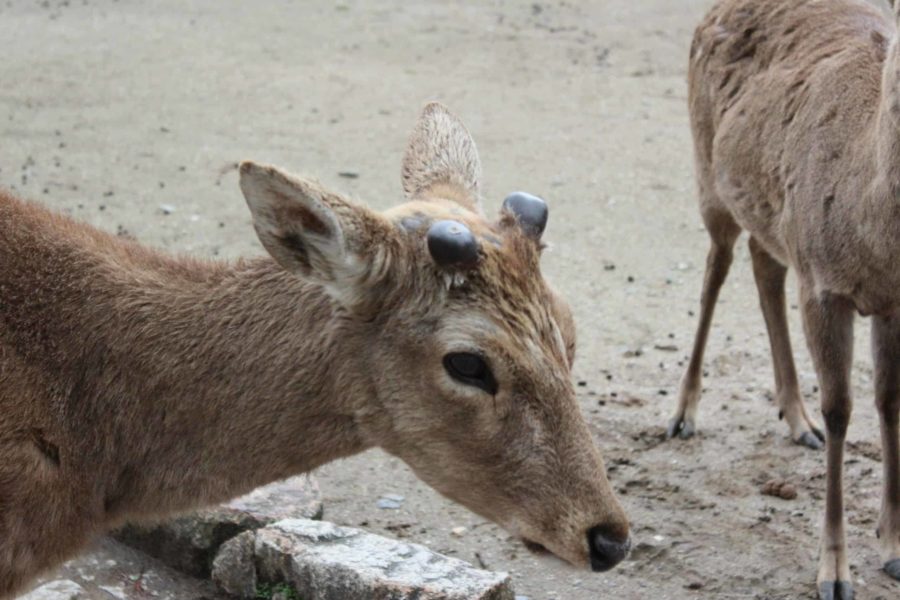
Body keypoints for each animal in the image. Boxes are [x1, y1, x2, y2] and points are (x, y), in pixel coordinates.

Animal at [666, 0, 900, 597]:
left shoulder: (895, 303)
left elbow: (888, 402)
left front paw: (892, 545)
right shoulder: (822, 284)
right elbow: (841, 410)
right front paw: (834, 572)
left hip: (768, 210)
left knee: (763, 259)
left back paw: (797, 419)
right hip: (707, 168)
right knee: (717, 264)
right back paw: (683, 413)